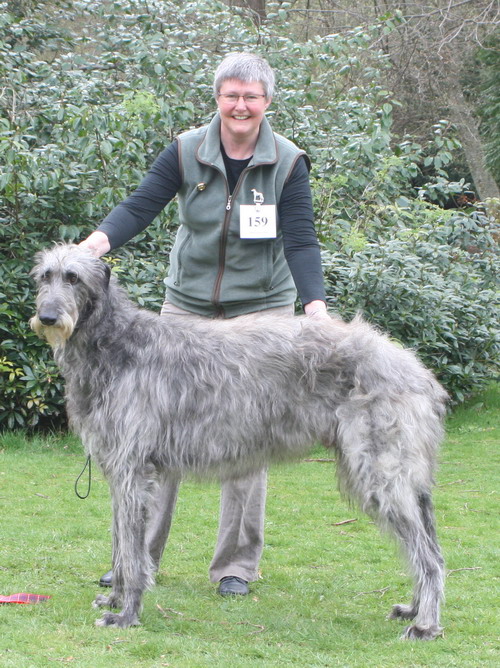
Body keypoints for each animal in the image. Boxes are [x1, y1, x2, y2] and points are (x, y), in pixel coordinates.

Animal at [30, 244, 446, 636]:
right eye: (45, 276)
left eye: (73, 278)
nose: (48, 318)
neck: (115, 343)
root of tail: (416, 370)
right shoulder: (120, 472)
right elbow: (122, 545)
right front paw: (114, 598)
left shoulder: (133, 471)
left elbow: (133, 555)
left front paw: (127, 614)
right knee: (429, 548)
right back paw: (414, 609)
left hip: (380, 470)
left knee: (428, 555)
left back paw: (426, 624)